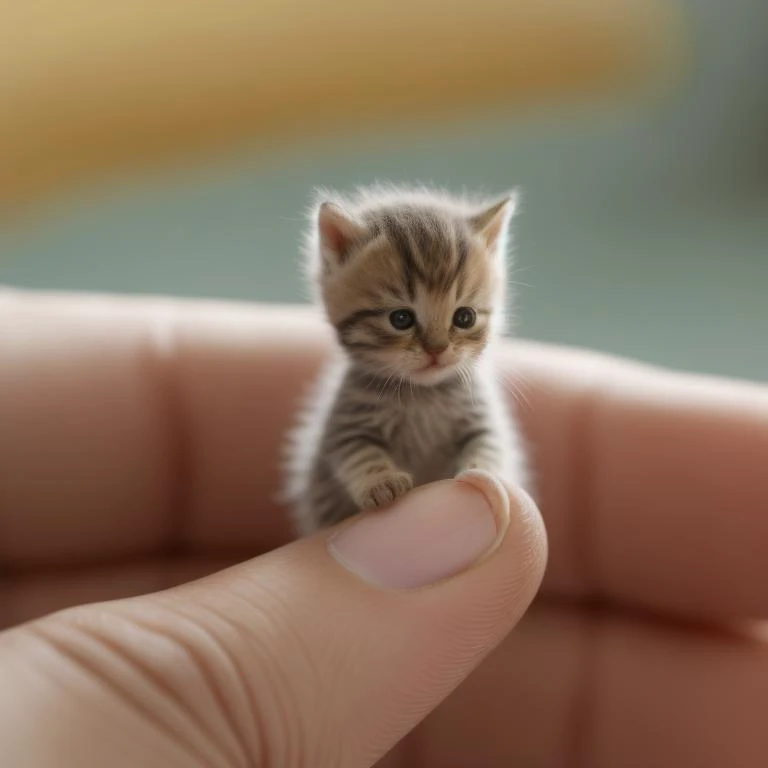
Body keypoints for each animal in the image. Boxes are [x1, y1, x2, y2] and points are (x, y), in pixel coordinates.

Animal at [282, 186, 528, 536]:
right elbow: (356, 453)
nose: (437, 349)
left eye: (464, 317)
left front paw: (483, 474)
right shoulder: (347, 425)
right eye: (401, 319)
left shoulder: (482, 417)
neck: (422, 395)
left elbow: (490, 444)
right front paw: (381, 482)